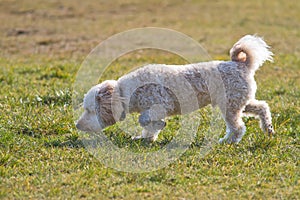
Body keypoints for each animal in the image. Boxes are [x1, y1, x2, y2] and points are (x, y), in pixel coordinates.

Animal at [75, 34, 274, 144]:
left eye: (90, 110)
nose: (77, 125)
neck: (127, 92)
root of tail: (241, 64)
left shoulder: (159, 106)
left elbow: (143, 119)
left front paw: (158, 126)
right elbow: (148, 127)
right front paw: (147, 137)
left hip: (230, 106)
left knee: (238, 127)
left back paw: (227, 141)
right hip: (239, 101)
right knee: (262, 107)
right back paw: (268, 128)